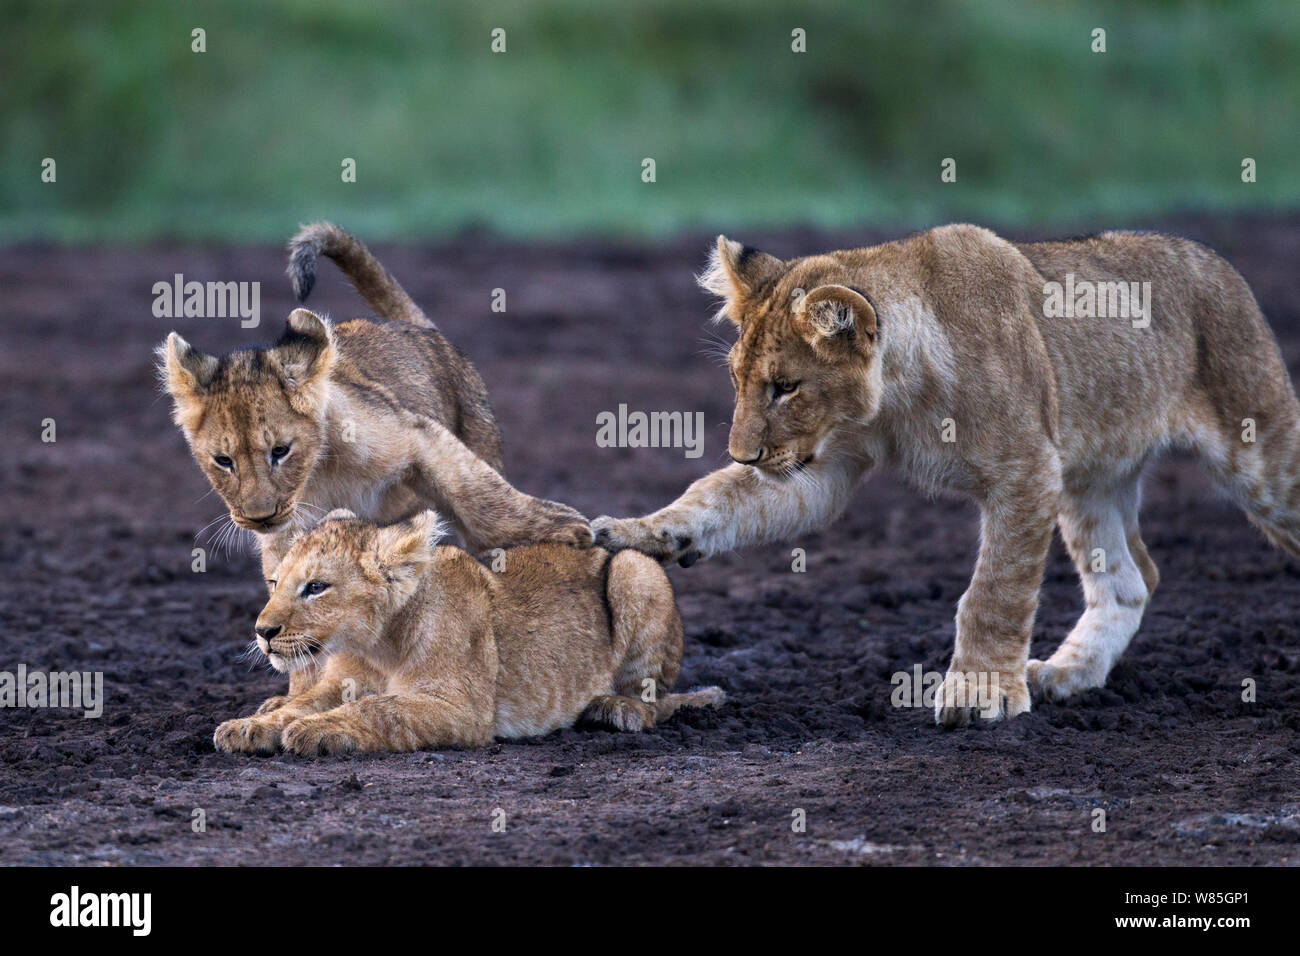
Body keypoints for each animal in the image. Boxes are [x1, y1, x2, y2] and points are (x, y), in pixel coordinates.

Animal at [159, 223, 592, 705]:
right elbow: (295, 604)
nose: (259, 517)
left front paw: (564, 527)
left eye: (280, 451)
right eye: (223, 460)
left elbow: (477, 495)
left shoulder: (415, 435)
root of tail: (415, 328)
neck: (318, 476)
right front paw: (297, 695)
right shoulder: (286, 538)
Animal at [212, 510, 724, 755]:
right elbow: (302, 703)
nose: (262, 631)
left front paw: (316, 729)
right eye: (275, 583)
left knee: (657, 701)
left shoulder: (462, 708)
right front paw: (251, 726)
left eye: (316, 587)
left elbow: (380, 708)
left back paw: (614, 708)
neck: (375, 647)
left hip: (636, 570)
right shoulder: (338, 682)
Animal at [592, 224, 1300, 727]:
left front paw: (978, 692)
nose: (743, 454)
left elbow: (994, 593)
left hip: (1258, 450)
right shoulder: (823, 465)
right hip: (1092, 475)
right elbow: (719, 499)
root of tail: (1216, 259)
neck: (900, 396)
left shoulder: (1027, 471)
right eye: (738, 380)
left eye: (786, 387)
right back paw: (1067, 673)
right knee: (1132, 578)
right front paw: (641, 531)